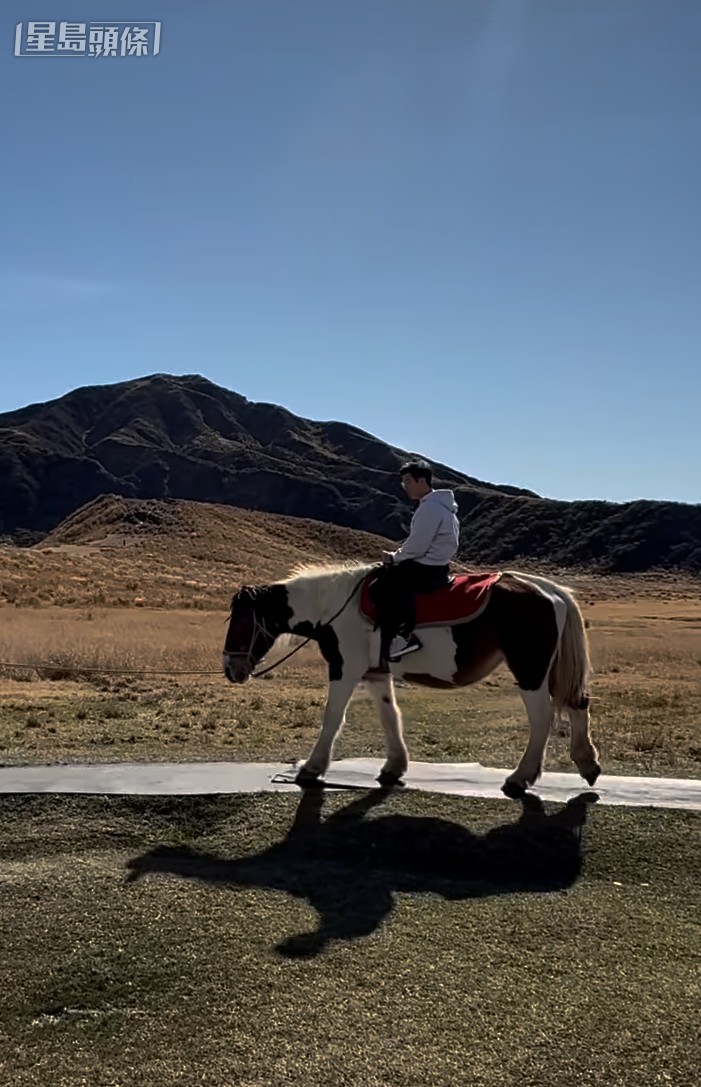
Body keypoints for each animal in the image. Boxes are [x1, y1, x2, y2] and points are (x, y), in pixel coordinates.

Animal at [222, 561, 600, 799]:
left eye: (242, 621)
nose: (230, 669)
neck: (334, 607)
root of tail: (550, 590)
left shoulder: (345, 669)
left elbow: (332, 718)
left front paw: (312, 768)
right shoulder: (376, 674)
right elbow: (390, 716)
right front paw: (394, 766)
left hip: (530, 670)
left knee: (542, 719)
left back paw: (520, 778)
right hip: (549, 669)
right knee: (578, 703)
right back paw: (587, 763)